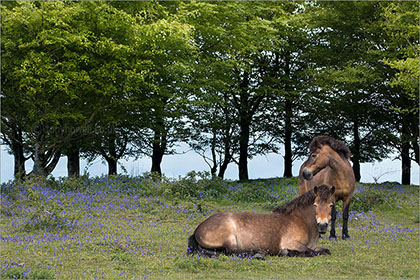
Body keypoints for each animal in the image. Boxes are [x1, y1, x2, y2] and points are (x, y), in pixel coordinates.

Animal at [187, 185, 334, 258]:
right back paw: (259, 254)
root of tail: (198, 229)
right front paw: (287, 252)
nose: (322, 226)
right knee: (232, 252)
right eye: (315, 205)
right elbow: (310, 251)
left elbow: (325, 250)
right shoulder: (291, 243)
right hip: (230, 238)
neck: (301, 221)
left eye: (331, 205)